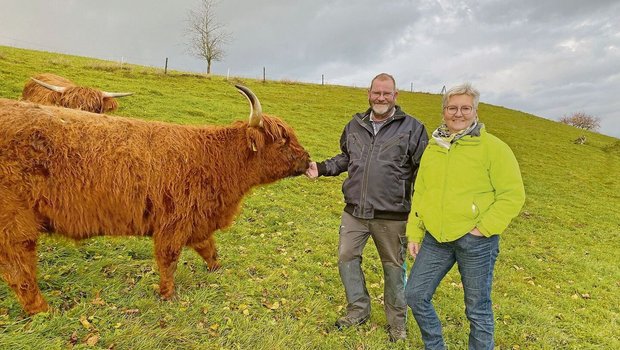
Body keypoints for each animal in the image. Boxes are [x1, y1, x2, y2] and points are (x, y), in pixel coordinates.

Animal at [0, 85, 310, 314]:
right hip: (15, 223)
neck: (214, 160)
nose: (308, 160)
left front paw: (217, 270)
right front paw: (168, 295)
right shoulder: (173, 223)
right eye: (282, 141)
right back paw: (43, 311)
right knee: (20, 271)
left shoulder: (198, 219)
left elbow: (209, 249)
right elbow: (169, 260)